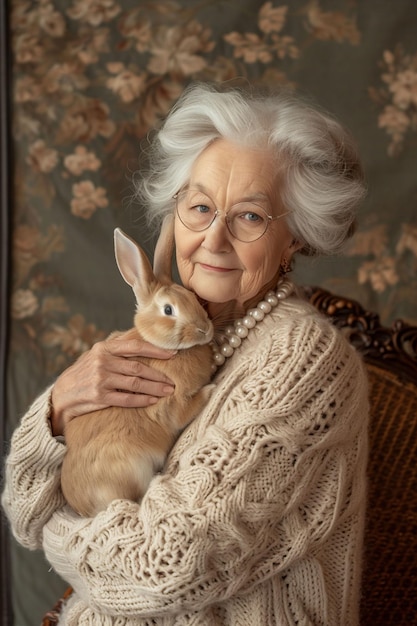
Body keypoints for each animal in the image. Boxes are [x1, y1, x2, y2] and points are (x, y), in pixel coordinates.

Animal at [61, 217, 214, 516]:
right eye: (168, 310)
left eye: (194, 298)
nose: (205, 330)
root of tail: (85, 509)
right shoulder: (170, 401)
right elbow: (183, 410)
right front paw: (211, 390)